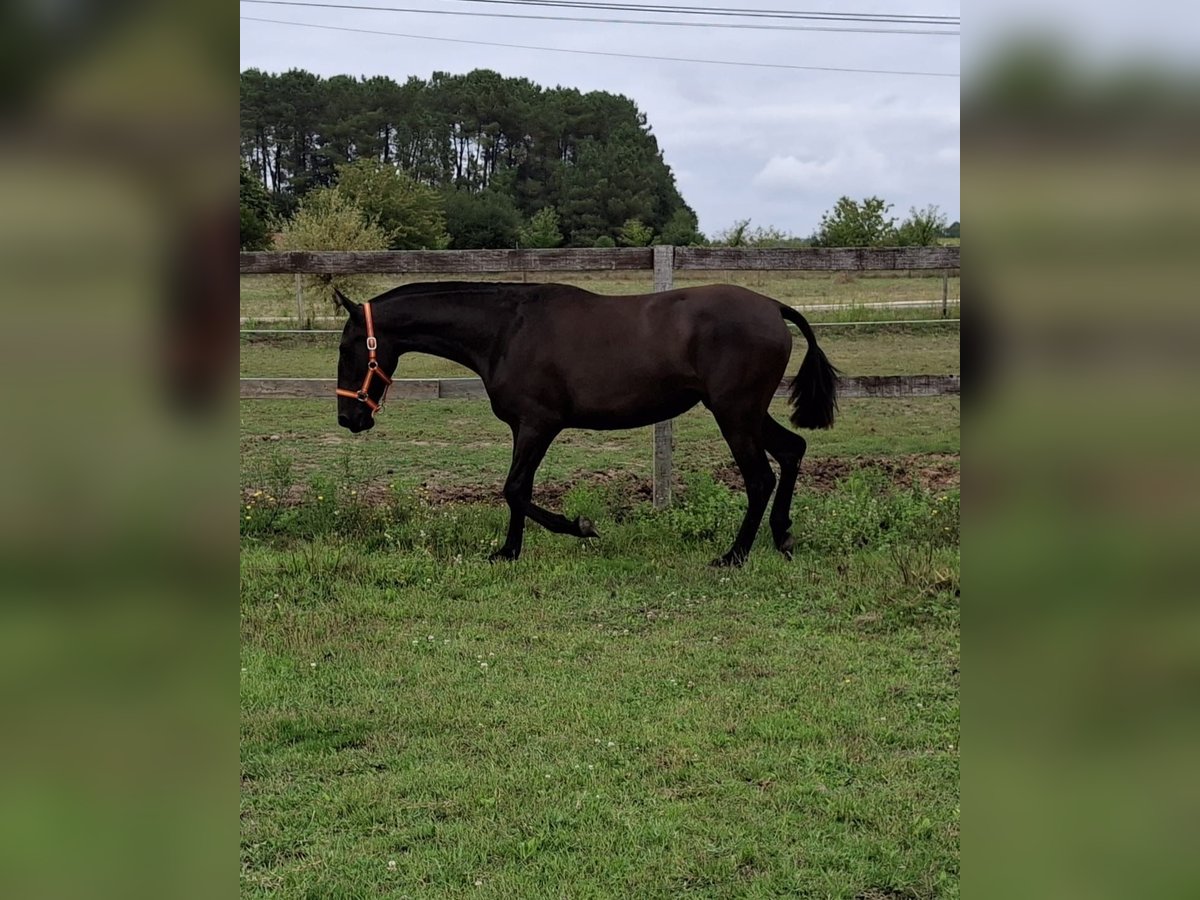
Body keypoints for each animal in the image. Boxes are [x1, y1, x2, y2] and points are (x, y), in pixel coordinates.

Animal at [333, 282, 840, 566]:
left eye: (346, 348)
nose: (349, 417)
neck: (507, 330)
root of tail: (774, 307)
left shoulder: (538, 424)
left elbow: (515, 490)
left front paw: (580, 527)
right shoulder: (524, 428)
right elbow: (518, 490)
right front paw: (507, 553)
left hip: (734, 414)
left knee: (760, 479)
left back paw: (734, 556)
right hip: (746, 413)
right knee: (792, 450)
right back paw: (783, 535)